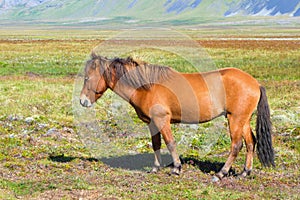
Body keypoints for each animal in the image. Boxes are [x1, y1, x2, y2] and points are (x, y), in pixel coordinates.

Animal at [79, 53, 274, 181]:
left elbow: (170, 143)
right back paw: (245, 172)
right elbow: (156, 144)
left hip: (235, 120)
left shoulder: (162, 120)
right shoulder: (152, 123)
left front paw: (177, 168)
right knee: (250, 142)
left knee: (236, 145)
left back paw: (221, 173)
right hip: (243, 120)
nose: (82, 101)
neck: (146, 86)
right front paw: (155, 168)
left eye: (87, 78)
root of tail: (255, 83)